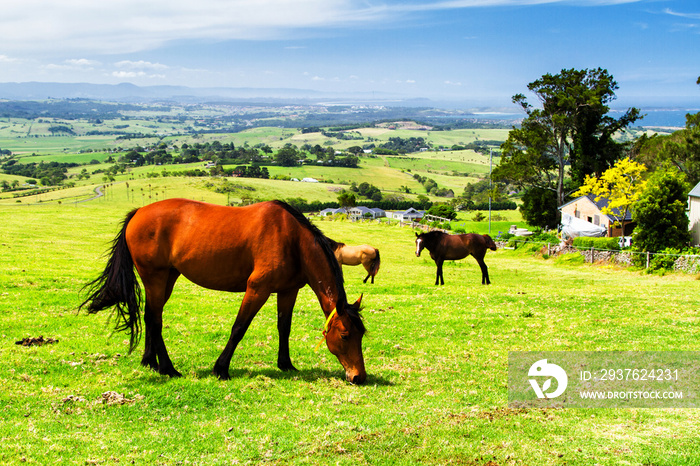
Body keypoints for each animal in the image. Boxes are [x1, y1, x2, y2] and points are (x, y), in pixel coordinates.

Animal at [80, 198, 366, 384]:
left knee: (152, 316)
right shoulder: (257, 288)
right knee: (154, 319)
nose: (359, 377)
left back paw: (150, 361)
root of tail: (139, 211)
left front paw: (285, 364)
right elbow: (239, 328)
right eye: (345, 335)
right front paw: (221, 369)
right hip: (155, 278)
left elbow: (284, 327)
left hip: (167, 278)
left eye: (361, 335)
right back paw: (168, 369)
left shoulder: (287, 291)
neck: (291, 238)